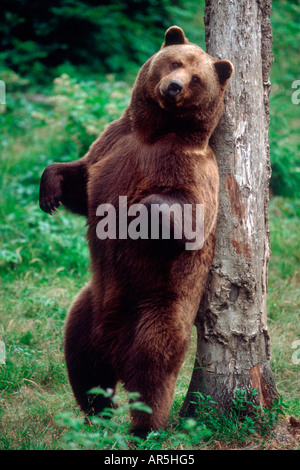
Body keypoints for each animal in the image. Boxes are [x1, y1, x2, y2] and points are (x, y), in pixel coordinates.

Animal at [38, 26, 233, 436]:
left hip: (158, 306)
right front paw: (50, 189)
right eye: (175, 61)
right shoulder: (113, 143)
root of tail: (115, 345)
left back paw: (143, 427)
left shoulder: (192, 170)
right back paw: (94, 414)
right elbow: (82, 182)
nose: (173, 87)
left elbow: (188, 216)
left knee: (152, 368)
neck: (155, 132)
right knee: (83, 363)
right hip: (88, 310)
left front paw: (139, 212)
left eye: (196, 77)